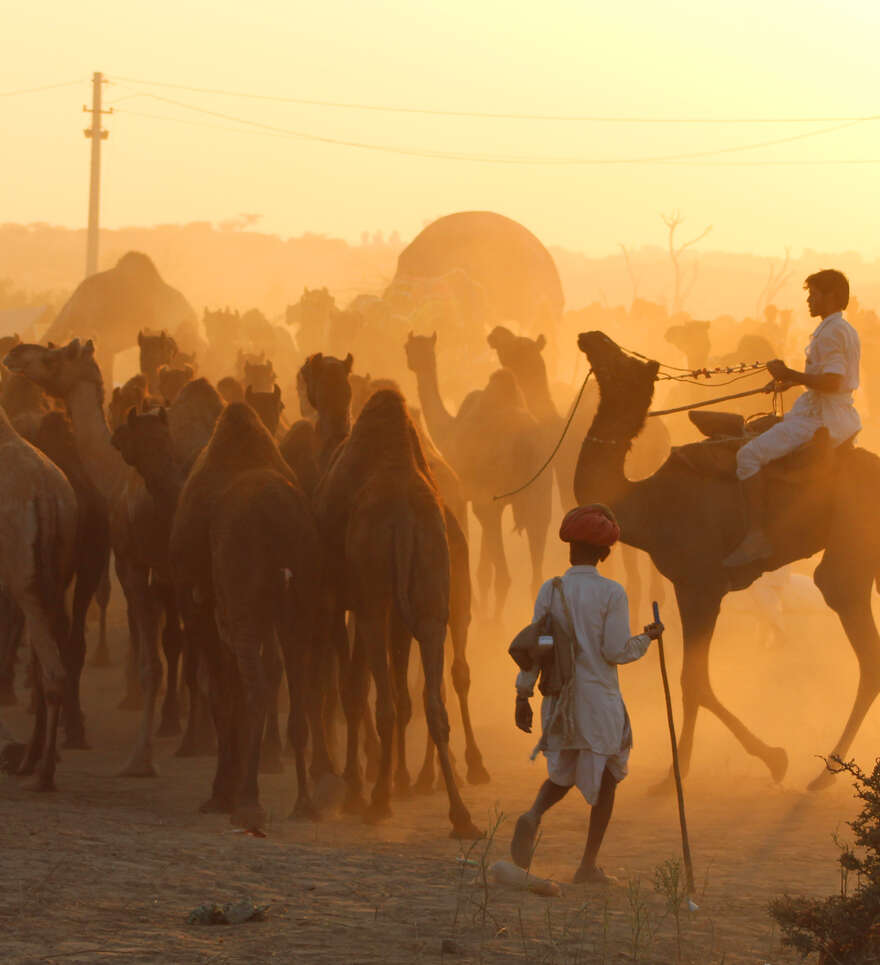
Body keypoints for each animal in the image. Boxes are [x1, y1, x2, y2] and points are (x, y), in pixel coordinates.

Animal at [168, 402, 320, 824]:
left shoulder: (203, 600)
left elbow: (223, 691)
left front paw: (221, 795)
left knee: (254, 684)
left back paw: (248, 802)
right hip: (293, 599)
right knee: (286, 684)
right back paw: (303, 803)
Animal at [404, 332, 552, 612]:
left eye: (409, 347)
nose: (412, 361)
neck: (449, 429)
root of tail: (526, 443)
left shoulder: (472, 497)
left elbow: (483, 570)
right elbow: (485, 568)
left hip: (490, 500)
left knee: (504, 576)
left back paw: (494, 621)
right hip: (539, 499)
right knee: (536, 574)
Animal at [576, 332, 880, 792]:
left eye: (623, 364)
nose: (591, 337)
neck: (646, 505)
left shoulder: (701, 585)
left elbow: (694, 681)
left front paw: (763, 759)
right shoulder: (688, 586)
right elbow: (695, 681)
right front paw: (687, 769)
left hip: (852, 537)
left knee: (850, 615)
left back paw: (825, 774)